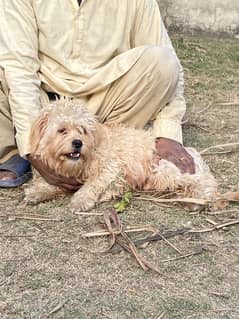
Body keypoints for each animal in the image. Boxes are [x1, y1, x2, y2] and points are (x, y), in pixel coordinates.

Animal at [24, 99, 217, 211]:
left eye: (82, 130)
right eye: (62, 130)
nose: (78, 143)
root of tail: (192, 152)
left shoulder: (109, 168)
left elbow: (92, 184)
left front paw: (81, 200)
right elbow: (52, 185)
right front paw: (38, 192)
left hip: (164, 170)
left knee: (204, 182)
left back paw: (197, 200)